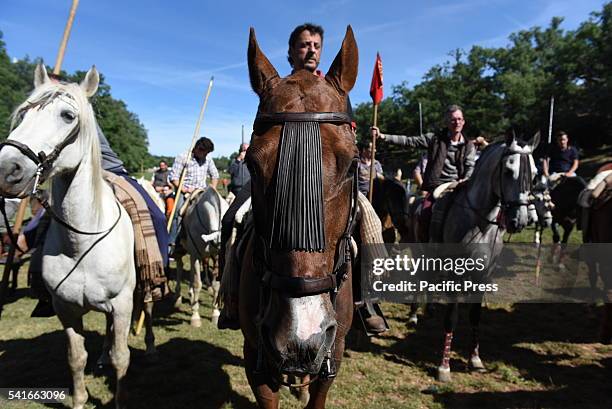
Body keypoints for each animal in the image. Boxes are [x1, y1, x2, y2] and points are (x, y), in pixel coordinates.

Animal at [0, 65, 134, 406]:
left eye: (67, 116)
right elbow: (76, 358)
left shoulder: (123, 305)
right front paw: (79, 400)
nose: (7, 170)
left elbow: (122, 358)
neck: (82, 244)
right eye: (23, 113)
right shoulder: (66, 309)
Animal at [173, 187, 228, 326]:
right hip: (184, 253)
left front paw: (215, 313)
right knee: (180, 267)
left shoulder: (214, 256)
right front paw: (195, 317)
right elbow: (198, 284)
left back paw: (190, 294)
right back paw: (178, 298)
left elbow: (216, 285)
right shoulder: (196, 255)